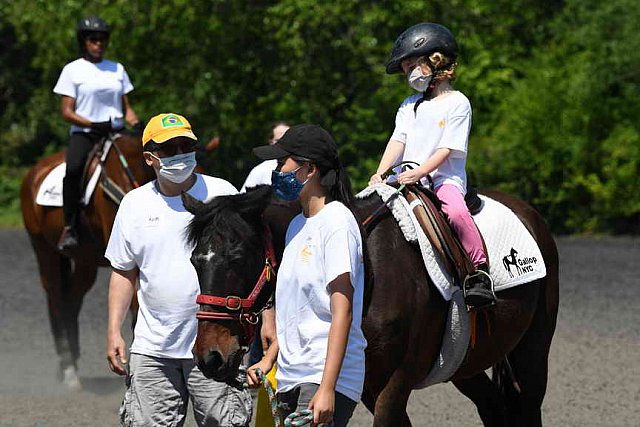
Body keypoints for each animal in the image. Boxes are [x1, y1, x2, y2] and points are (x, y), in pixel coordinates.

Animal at [19, 134, 155, 392]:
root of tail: (34, 172)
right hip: (44, 250)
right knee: (56, 301)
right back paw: (68, 369)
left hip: (85, 261)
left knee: (71, 300)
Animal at [182, 188, 556, 427]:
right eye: (195, 260)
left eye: (237, 257)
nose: (209, 356)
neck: (367, 270)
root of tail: (530, 213)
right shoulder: (365, 385)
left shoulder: (396, 380)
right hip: (464, 363)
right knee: (493, 407)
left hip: (532, 350)